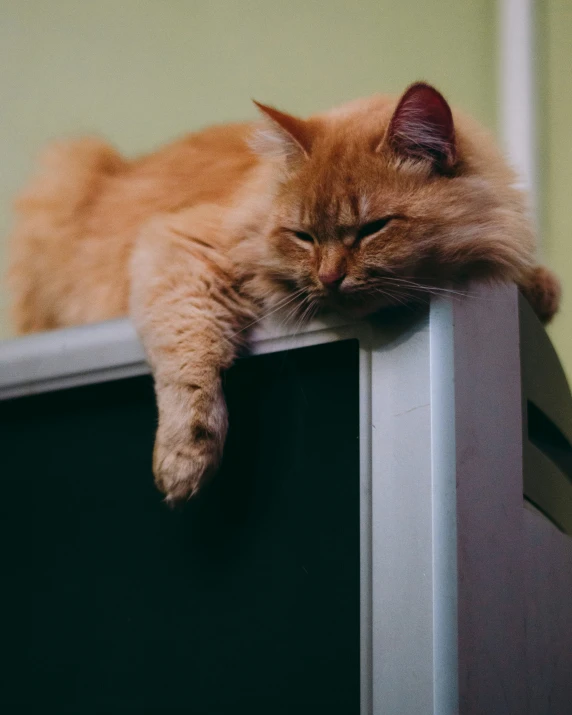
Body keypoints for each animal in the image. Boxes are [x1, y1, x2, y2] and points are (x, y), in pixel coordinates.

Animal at [6, 82, 560, 504]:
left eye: (372, 229)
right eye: (304, 236)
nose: (330, 278)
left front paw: (540, 288)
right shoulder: (180, 248)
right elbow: (189, 367)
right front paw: (186, 458)